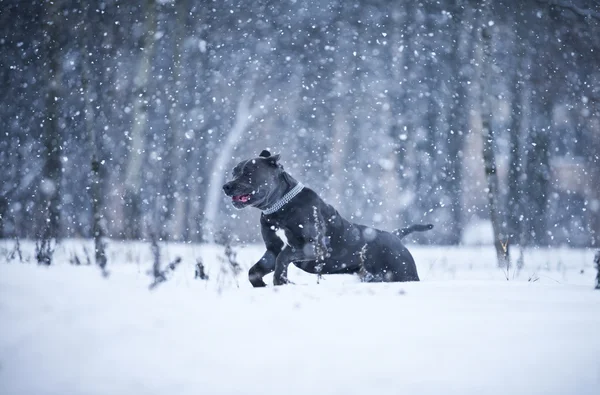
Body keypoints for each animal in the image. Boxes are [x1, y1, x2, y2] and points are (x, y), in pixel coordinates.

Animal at [220, 149, 432, 288]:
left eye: (248, 173)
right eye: (234, 172)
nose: (226, 186)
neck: (279, 208)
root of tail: (396, 236)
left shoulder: (315, 247)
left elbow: (285, 256)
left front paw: (282, 281)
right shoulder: (272, 249)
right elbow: (254, 271)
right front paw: (264, 285)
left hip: (403, 272)